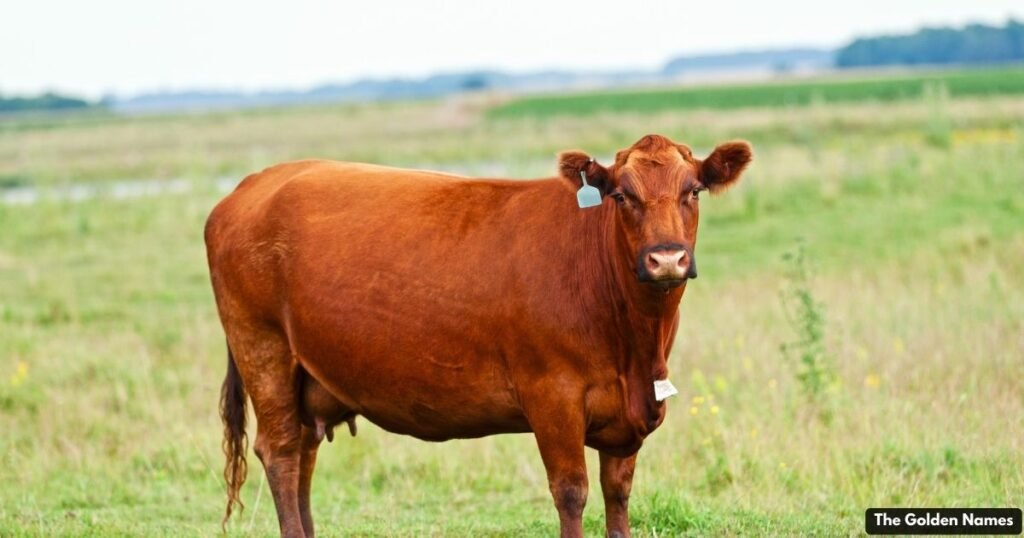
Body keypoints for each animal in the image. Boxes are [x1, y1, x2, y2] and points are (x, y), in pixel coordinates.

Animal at [205, 134, 751, 538]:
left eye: (693, 191)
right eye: (622, 195)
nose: (666, 259)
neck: (635, 346)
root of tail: (256, 182)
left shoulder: (627, 419)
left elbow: (617, 497)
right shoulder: (552, 397)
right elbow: (571, 491)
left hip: (307, 376)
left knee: (304, 454)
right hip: (263, 350)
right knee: (281, 453)